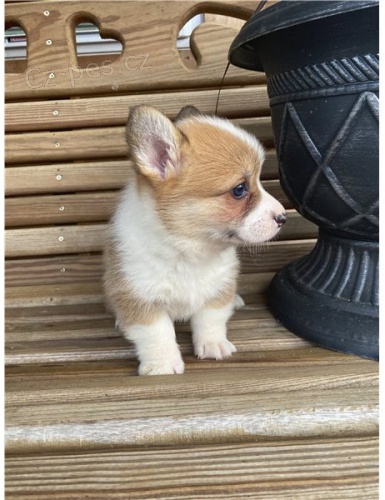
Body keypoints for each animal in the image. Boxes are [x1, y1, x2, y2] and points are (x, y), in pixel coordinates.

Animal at [103, 105, 284, 376]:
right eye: (239, 189)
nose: (283, 217)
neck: (187, 250)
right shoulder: (140, 296)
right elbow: (156, 333)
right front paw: (163, 364)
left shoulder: (217, 288)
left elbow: (210, 319)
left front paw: (213, 345)